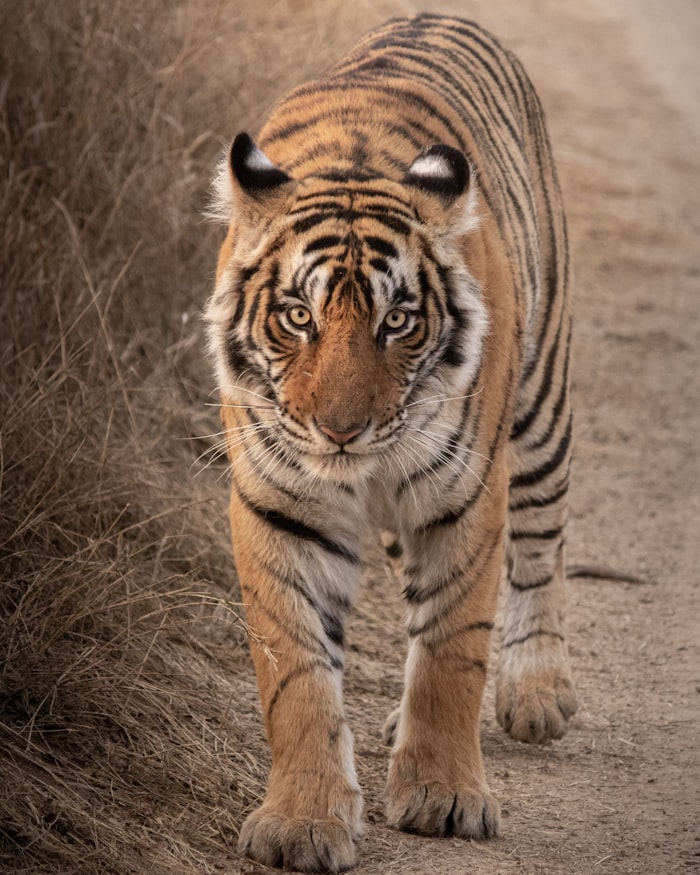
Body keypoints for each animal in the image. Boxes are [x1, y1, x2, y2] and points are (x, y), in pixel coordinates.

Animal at [205, 12, 577, 873]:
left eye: (398, 321)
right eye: (298, 316)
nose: (341, 430)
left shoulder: (464, 495)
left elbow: (450, 649)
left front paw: (444, 795)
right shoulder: (281, 505)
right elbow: (296, 673)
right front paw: (301, 821)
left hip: (540, 405)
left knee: (541, 542)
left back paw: (537, 689)